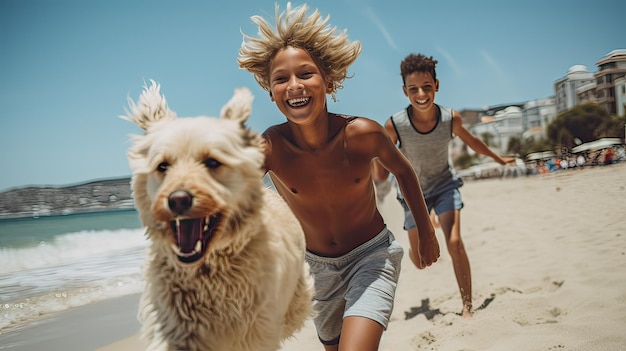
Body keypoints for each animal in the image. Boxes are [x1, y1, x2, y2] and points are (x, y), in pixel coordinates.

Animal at [121, 82, 314, 351]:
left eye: (212, 162)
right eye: (162, 166)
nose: (177, 199)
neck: (209, 270)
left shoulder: (255, 329)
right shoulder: (176, 325)